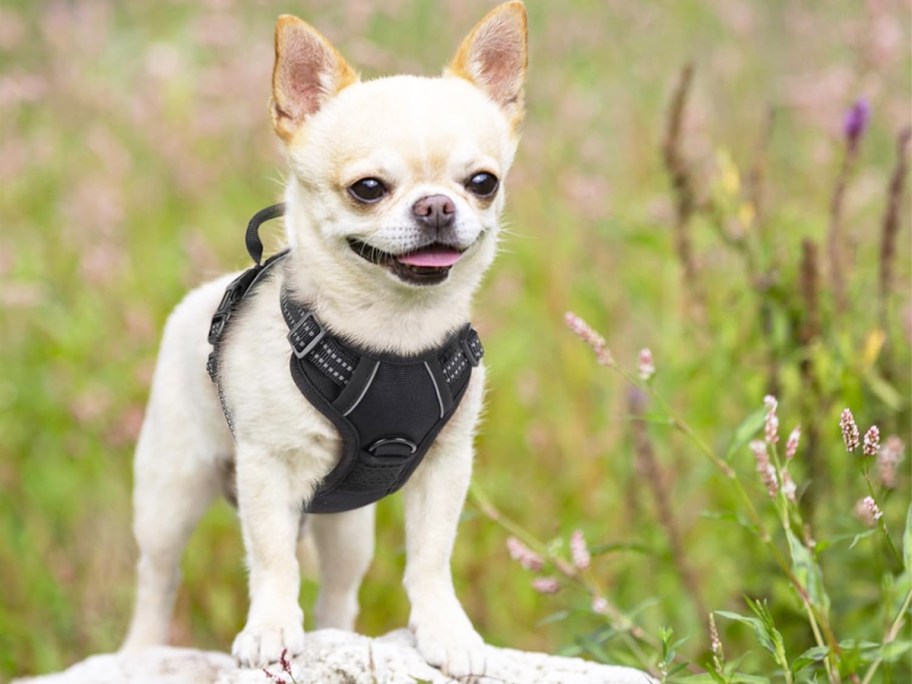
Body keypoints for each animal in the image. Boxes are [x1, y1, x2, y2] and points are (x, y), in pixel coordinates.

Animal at [119, 0, 528, 680]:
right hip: (169, 494)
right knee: (158, 576)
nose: (438, 206)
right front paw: (270, 628)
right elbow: (272, 560)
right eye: (367, 188)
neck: (389, 336)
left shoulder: (446, 464)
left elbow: (431, 557)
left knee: (340, 590)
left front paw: (445, 630)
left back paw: (343, 640)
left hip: (347, 527)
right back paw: (141, 651)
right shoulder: (266, 469)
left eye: (482, 182)